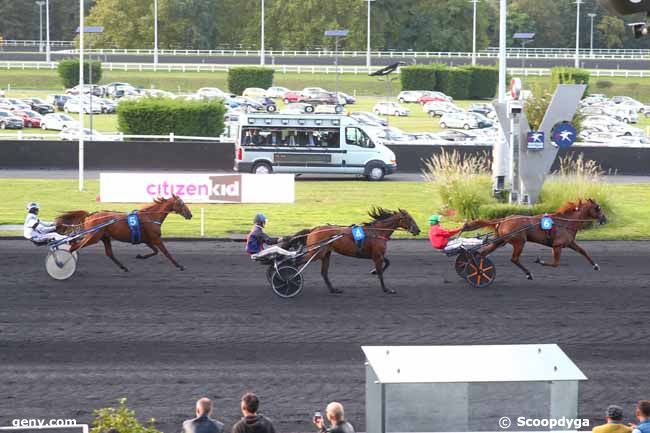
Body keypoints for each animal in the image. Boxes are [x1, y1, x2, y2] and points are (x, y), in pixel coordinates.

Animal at [54, 195, 191, 272]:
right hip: (93, 237)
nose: (190, 215)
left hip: (104, 237)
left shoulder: (148, 240)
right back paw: (63, 264)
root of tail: (90, 216)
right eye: (181, 203)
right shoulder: (155, 238)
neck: (150, 217)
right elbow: (166, 252)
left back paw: (123, 267)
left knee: (109, 253)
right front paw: (179, 265)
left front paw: (140, 256)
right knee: (73, 247)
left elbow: (155, 251)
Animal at [284, 207, 420, 294]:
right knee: (296, 262)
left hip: (325, 254)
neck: (377, 232)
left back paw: (333, 290)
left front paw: (374, 271)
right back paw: (289, 279)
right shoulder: (377, 255)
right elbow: (381, 273)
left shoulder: (376, 254)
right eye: (409, 219)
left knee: (324, 273)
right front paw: (386, 289)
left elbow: (387, 262)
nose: (417, 230)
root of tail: (313, 230)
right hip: (316, 253)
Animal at [460, 197, 608, 278]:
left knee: (482, 254)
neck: (566, 222)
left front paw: (596, 266)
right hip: (519, 242)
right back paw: (528, 273)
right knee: (514, 259)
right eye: (598, 207)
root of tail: (504, 220)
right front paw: (539, 261)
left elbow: (583, 251)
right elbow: (556, 263)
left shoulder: (570, 243)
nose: (605, 219)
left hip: (500, 241)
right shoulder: (557, 245)